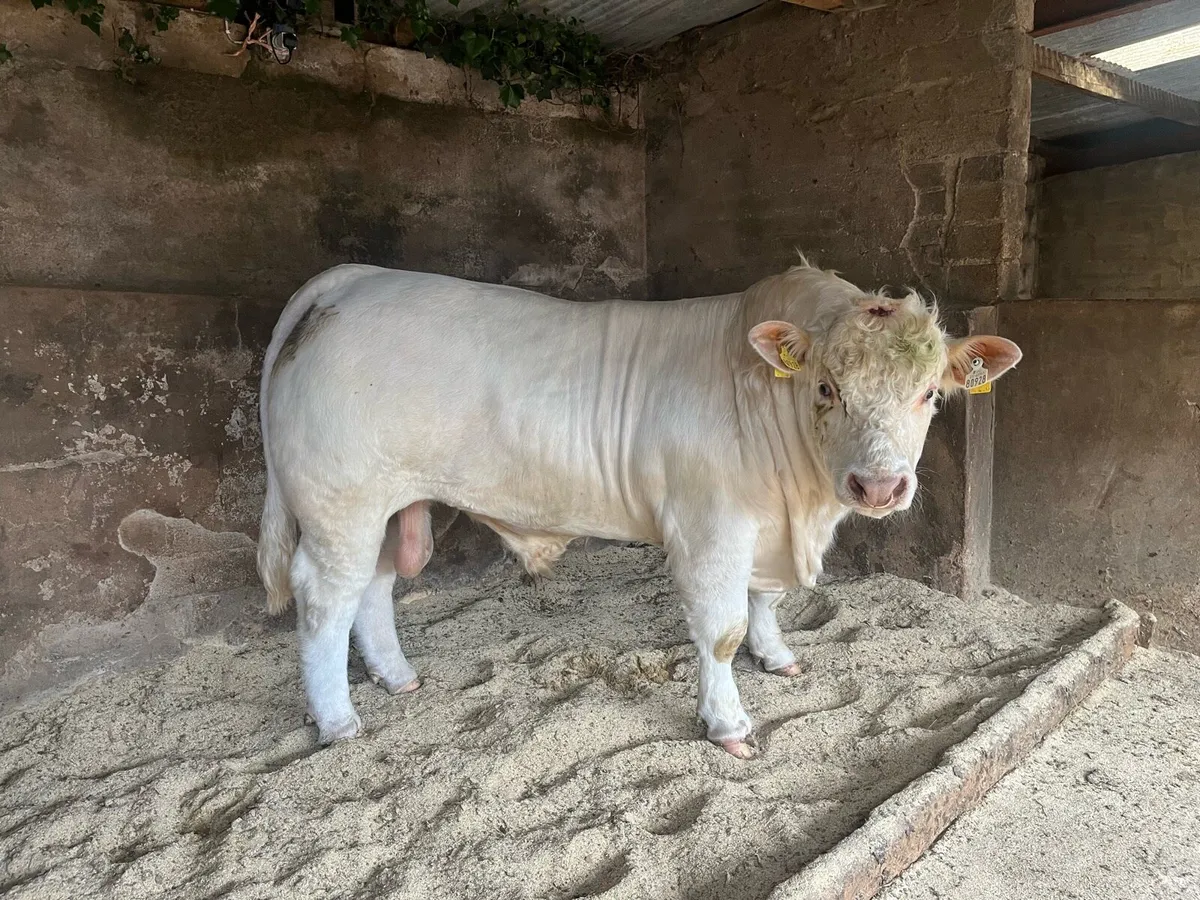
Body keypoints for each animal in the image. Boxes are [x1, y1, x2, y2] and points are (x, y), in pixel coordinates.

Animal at [257, 259, 1021, 758]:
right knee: (324, 601)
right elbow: (721, 629)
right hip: (340, 502)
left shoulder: (765, 531)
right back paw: (339, 720)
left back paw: (397, 677)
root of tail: (351, 280)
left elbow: (766, 602)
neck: (800, 504)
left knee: (374, 588)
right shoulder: (710, 526)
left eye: (931, 393)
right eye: (827, 387)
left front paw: (777, 657)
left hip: (391, 503)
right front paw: (729, 725)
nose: (878, 487)